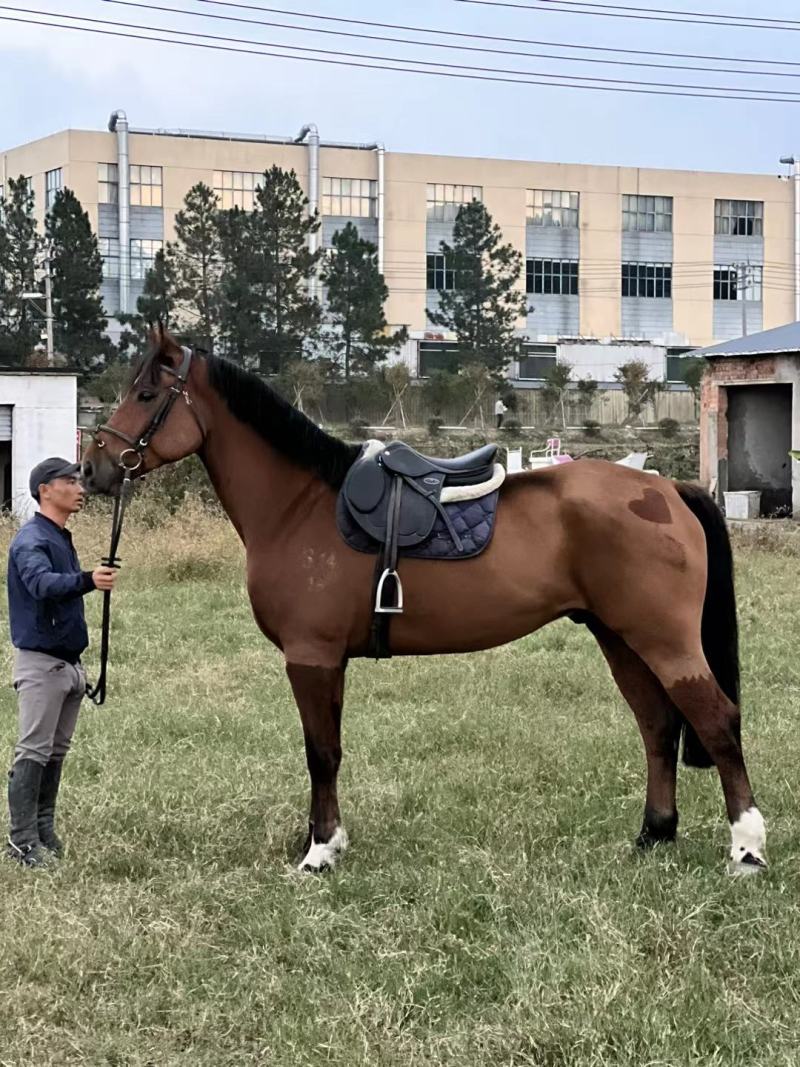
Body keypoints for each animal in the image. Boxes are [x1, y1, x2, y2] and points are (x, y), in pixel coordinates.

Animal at [81, 329, 766, 876]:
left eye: (147, 395)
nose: (93, 469)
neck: (299, 505)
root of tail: (667, 489)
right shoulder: (328, 662)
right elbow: (327, 748)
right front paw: (325, 839)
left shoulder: (310, 657)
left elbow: (320, 752)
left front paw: (319, 853)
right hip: (619, 637)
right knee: (657, 726)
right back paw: (654, 835)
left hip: (664, 640)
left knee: (717, 722)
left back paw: (746, 849)